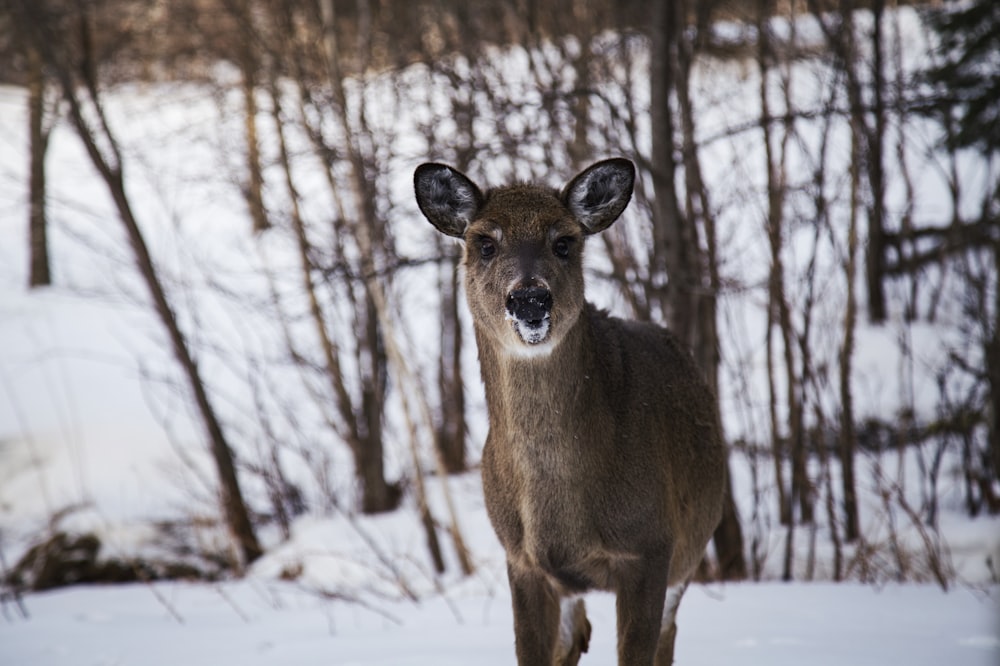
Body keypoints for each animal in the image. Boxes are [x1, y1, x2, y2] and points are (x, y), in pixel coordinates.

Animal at [414, 160, 728, 664]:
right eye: (485, 242)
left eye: (564, 241)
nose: (529, 299)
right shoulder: (521, 560)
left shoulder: (651, 547)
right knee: (576, 636)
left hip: (689, 553)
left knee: (666, 637)